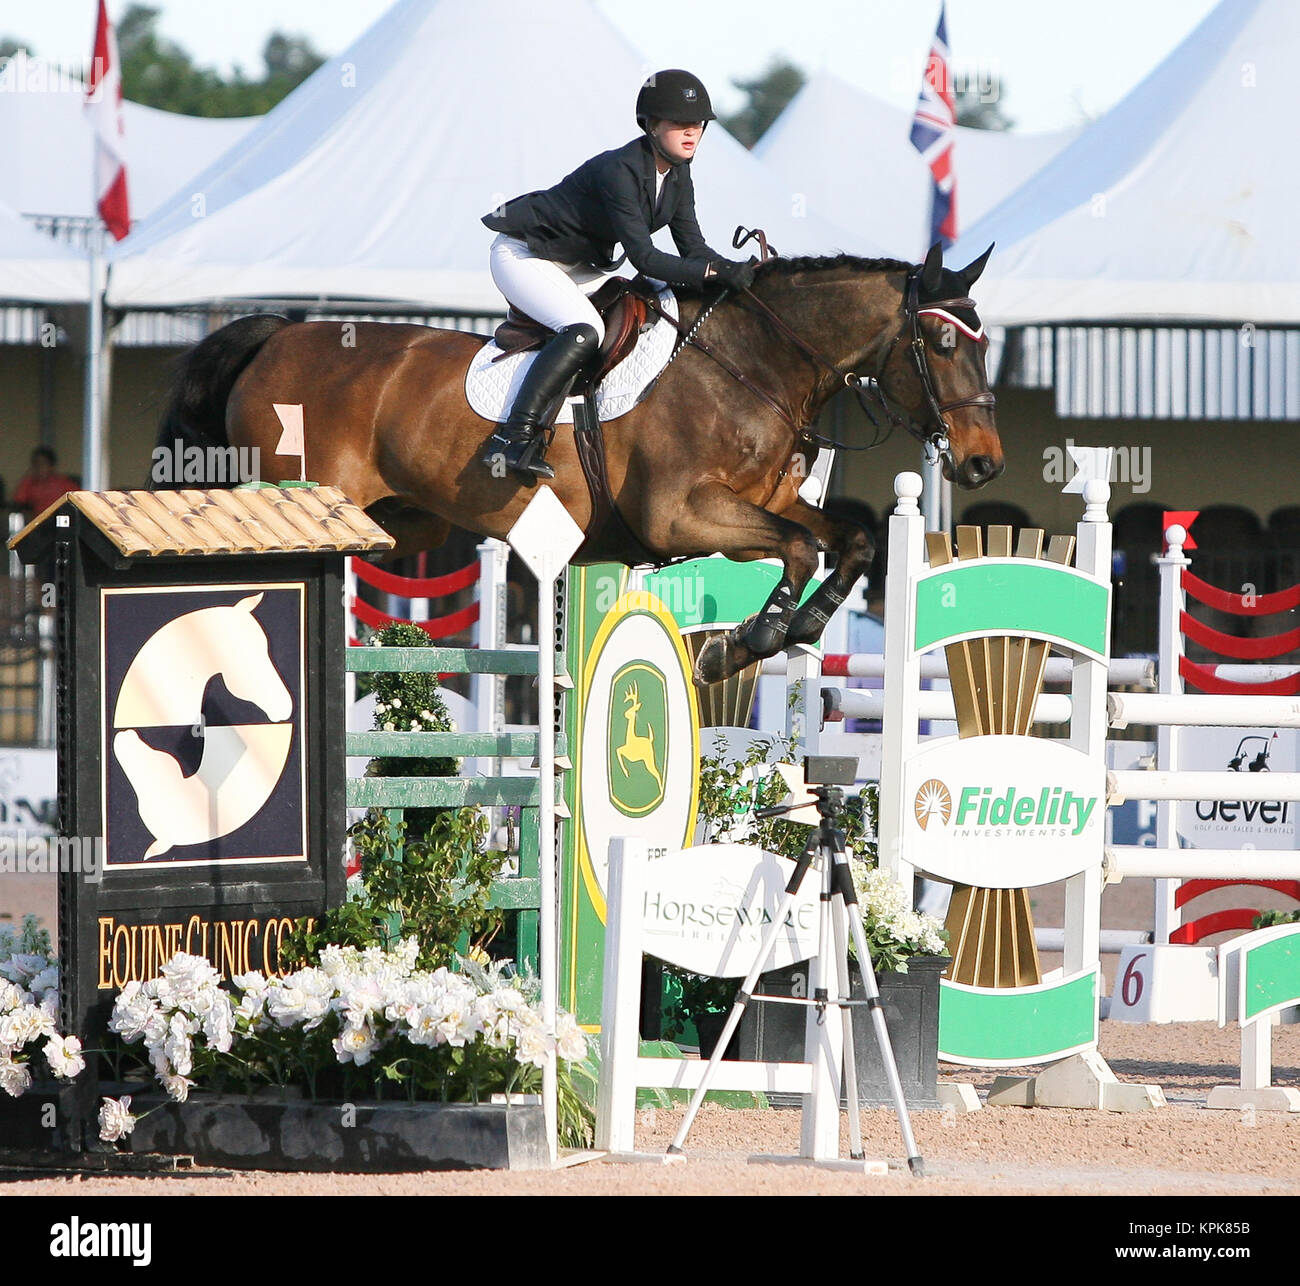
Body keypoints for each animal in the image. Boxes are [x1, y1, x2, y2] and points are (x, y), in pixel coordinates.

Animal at [157, 240, 998, 681]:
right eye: (942, 341)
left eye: (985, 341)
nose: (984, 463)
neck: (752, 365)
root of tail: (277, 335)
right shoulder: (680, 517)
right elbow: (797, 547)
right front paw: (742, 645)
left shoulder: (757, 507)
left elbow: (846, 541)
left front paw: (797, 628)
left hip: (408, 523)